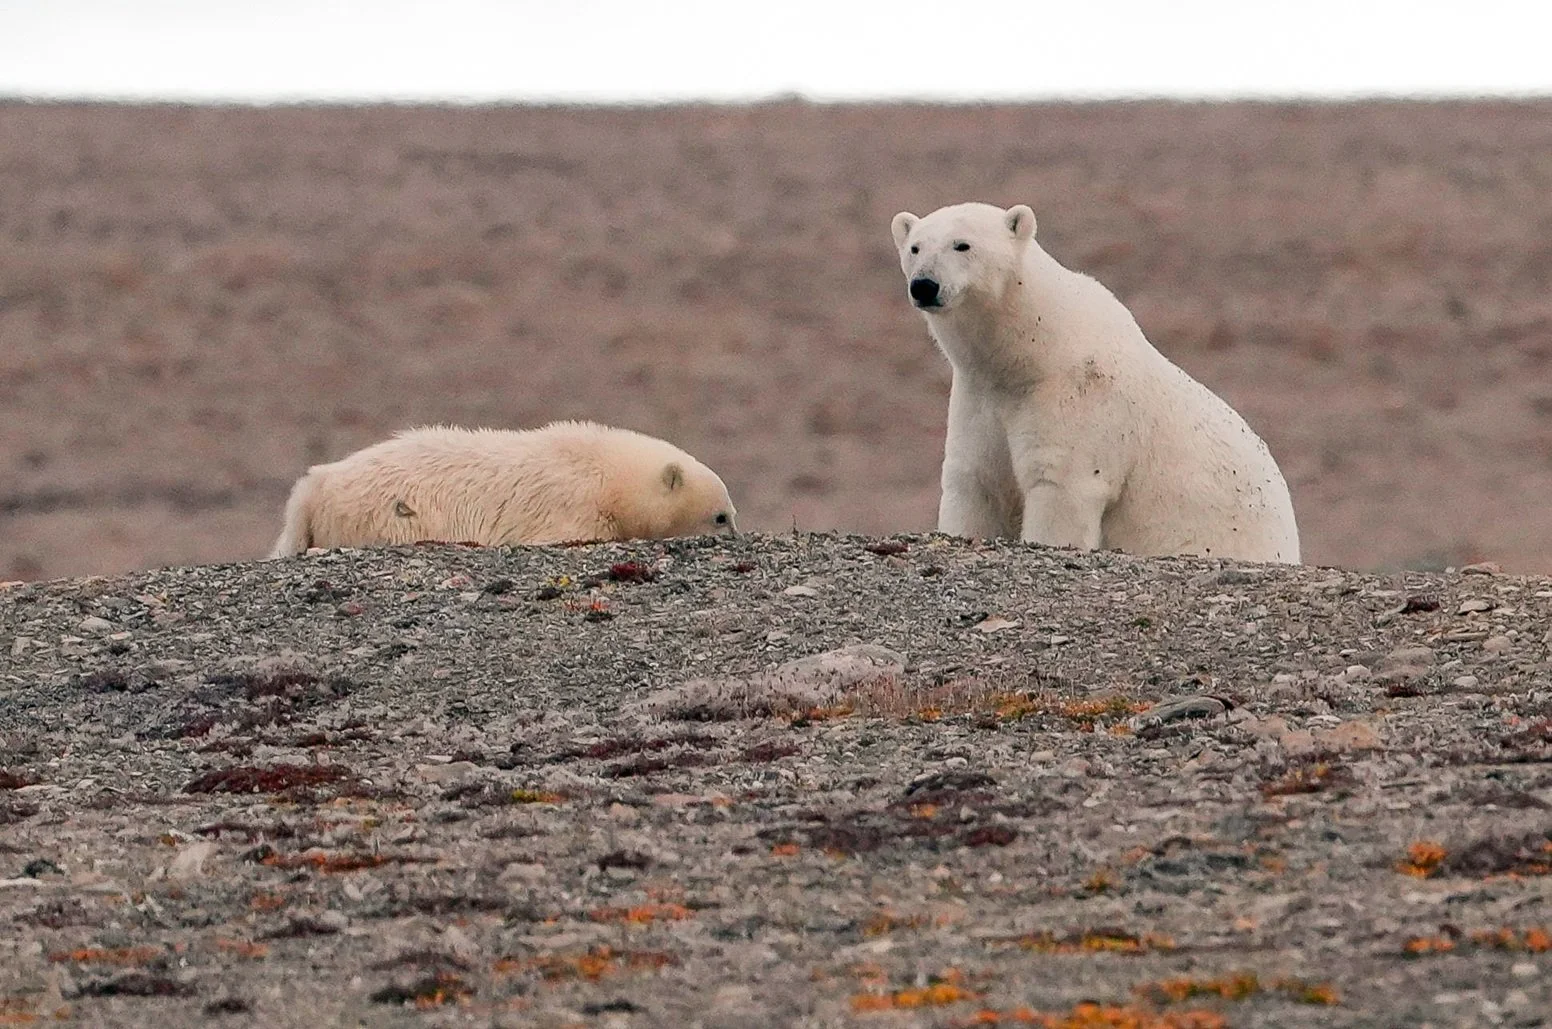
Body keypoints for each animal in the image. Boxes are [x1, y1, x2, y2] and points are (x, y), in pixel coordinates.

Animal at [890, 201, 1300, 564]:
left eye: (963, 245)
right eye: (915, 247)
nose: (924, 285)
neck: (1033, 351)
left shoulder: (1080, 398)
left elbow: (1061, 484)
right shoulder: (979, 399)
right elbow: (976, 481)